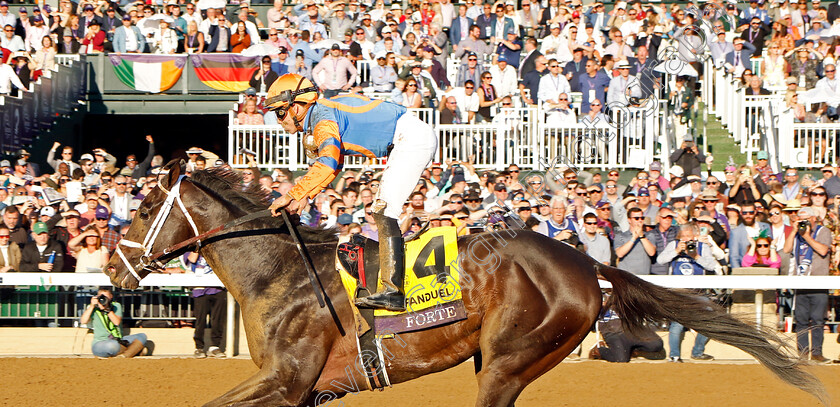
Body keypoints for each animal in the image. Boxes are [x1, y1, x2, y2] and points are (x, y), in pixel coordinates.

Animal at [103, 161, 828, 406]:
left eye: (145, 206)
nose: (111, 268)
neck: (279, 273)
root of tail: (584, 263)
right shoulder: (304, 391)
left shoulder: (287, 380)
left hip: (510, 358)